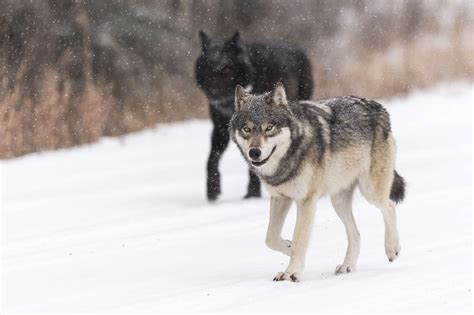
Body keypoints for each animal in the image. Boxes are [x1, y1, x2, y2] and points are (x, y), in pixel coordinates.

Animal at [194, 30, 312, 202]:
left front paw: (252, 194)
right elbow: (211, 160)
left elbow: (255, 165)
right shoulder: (220, 128)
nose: (213, 94)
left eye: (227, 69)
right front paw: (212, 191)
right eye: (207, 67)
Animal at [229, 82, 404, 282]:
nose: (254, 152)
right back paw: (347, 266)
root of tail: (378, 106)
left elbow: (299, 238)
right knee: (356, 234)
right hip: (338, 201)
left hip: (370, 191)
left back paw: (392, 248)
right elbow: (270, 238)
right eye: (246, 129)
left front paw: (291, 273)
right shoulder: (281, 197)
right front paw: (288, 247)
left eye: (269, 127)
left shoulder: (306, 200)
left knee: (389, 205)